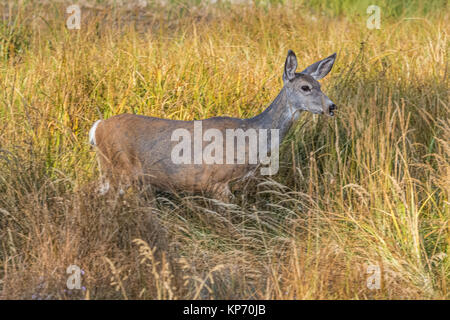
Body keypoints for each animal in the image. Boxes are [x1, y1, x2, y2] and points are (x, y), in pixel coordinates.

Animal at [89, 49, 338, 200]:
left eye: (320, 85)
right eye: (305, 87)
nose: (332, 107)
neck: (250, 137)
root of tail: (97, 127)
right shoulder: (218, 182)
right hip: (116, 168)